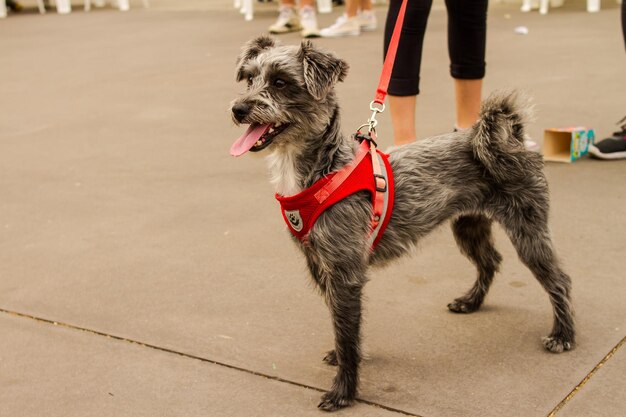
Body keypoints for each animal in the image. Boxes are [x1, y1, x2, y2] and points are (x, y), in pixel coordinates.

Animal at [228, 36, 572, 412]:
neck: (325, 169)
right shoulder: (320, 266)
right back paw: (471, 302)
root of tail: (513, 139)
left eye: (280, 82)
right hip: (468, 225)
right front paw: (344, 358)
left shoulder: (344, 273)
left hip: (528, 230)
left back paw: (564, 335)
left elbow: (346, 330)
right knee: (490, 261)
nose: (238, 109)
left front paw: (343, 392)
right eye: (249, 78)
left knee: (559, 280)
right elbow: (343, 326)